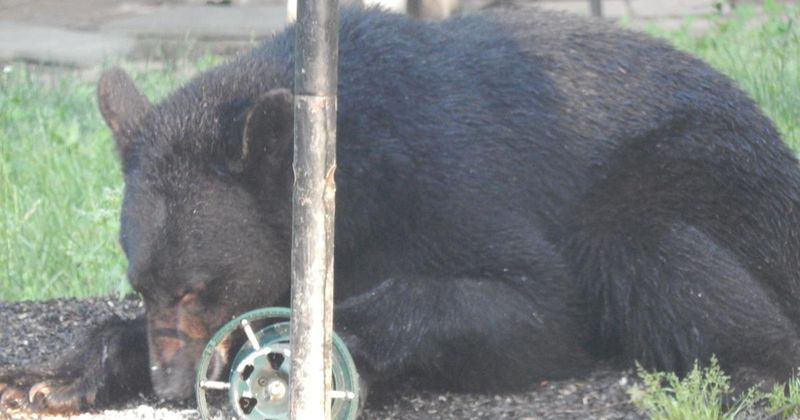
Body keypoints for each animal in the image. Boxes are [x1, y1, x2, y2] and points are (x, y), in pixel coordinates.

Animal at [3, 6, 800, 414]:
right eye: (145, 286)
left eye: (201, 288)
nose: (169, 389)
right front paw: (56, 375)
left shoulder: (442, 172)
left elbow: (535, 302)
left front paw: (323, 342)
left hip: (709, 175)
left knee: (642, 243)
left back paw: (744, 375)